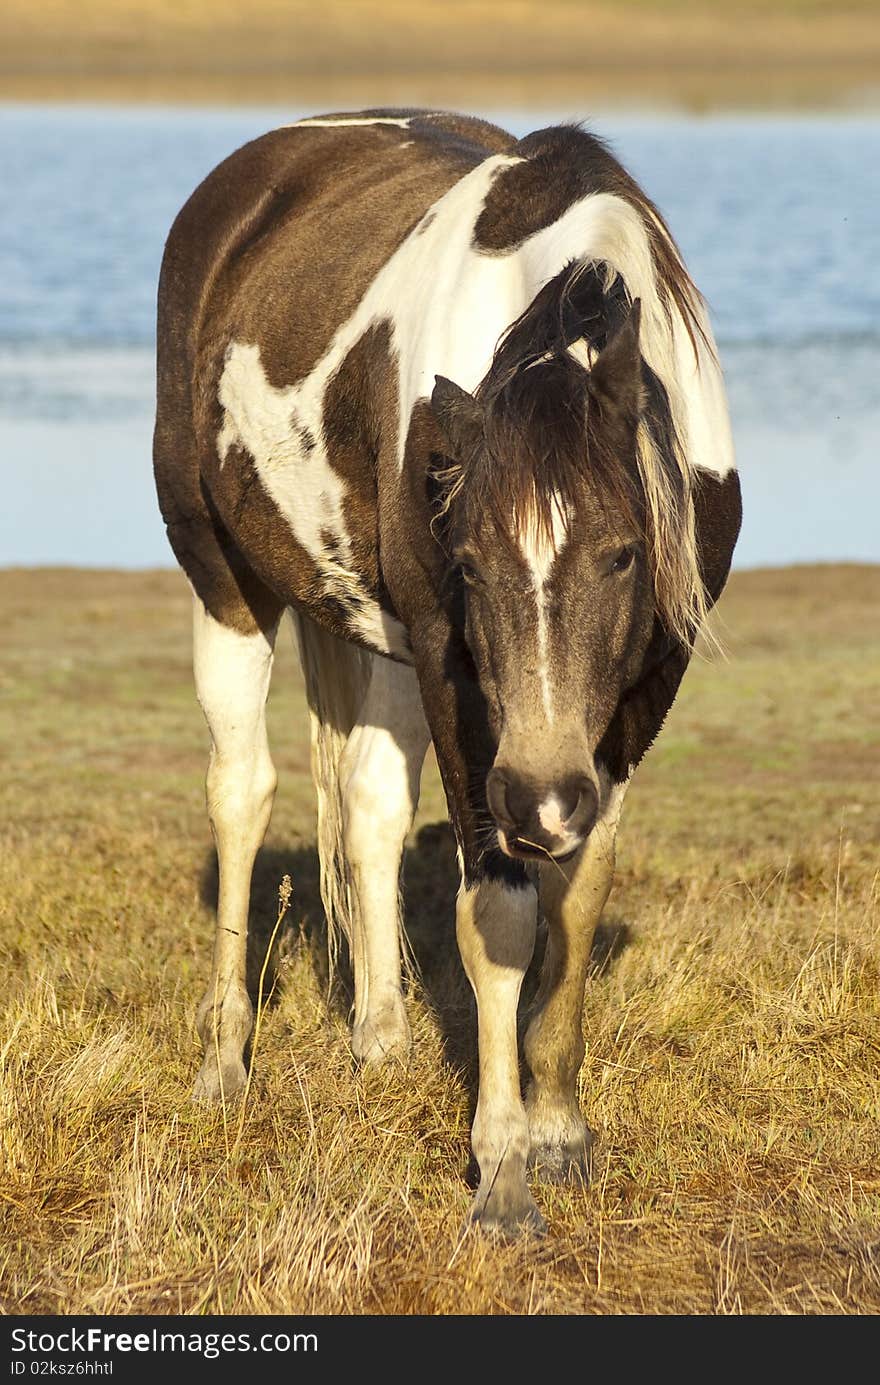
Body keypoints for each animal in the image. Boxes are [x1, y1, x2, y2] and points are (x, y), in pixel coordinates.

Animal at [155, 105, 742, 1235]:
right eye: (470, 562)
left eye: (623, 556)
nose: (539, 792)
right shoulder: (455, 669)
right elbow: (501, 910)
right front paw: (503, 1168)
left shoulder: (640, 695)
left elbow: (577, 893)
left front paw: (560, 1125)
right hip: (226, 582)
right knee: (240, 796)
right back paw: (225, 1060)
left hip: (379, 638)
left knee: (372, 805)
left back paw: (380, 1040)